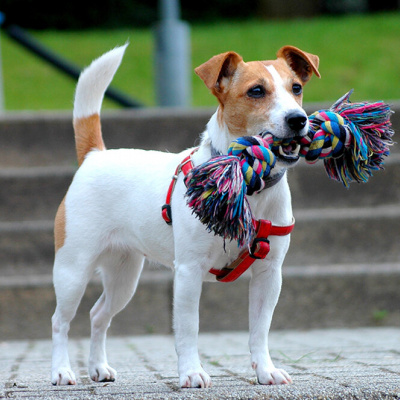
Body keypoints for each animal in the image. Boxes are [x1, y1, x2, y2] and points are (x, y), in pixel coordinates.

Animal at [50, 43, 318, 388]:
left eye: (296, 88)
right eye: (256, 91)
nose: (298, 119)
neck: (245, 181)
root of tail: (95, 155)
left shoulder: (269, 274)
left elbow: (260, 329)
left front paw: (265, 370)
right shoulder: (189, 272)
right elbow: (189, 328)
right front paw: (191, 372)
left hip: (123, 276)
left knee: (98, 315)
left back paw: (98, 367)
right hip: (73, 270)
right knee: (60, 321)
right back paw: (61, 370)